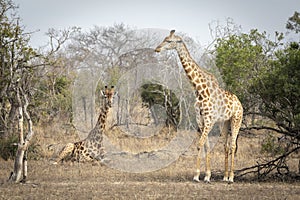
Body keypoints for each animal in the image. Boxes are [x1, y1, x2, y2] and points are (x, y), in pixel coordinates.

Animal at [156, 30, 243, 183]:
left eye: (169, 41)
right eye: (165, 39)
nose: (157, 49)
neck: (200, 90)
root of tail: (239, 103)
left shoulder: (209, 120)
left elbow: (199, 144)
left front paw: (197, 176)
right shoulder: (201, 120)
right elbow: (206, 146)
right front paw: (206, 175)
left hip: (236, 119)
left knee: (233, 145)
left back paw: (231, 177)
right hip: (225, 122)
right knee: (226, 146)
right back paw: (225, 176)